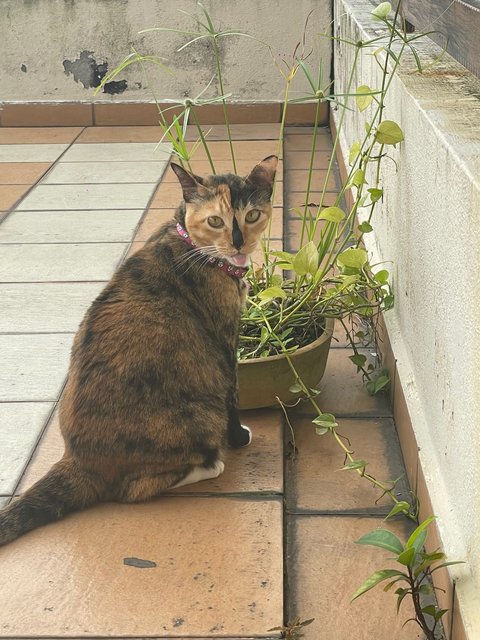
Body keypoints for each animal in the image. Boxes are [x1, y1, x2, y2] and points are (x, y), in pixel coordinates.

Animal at [0, 154, 278, 544]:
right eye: (215, 220)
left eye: (252, 215)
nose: (238, 245)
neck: (193, 245)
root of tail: (78, 460)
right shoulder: (226, 338)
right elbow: (234, 395)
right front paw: (239, 438)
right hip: (202, 414)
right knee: (133, 490)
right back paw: (210, 463)